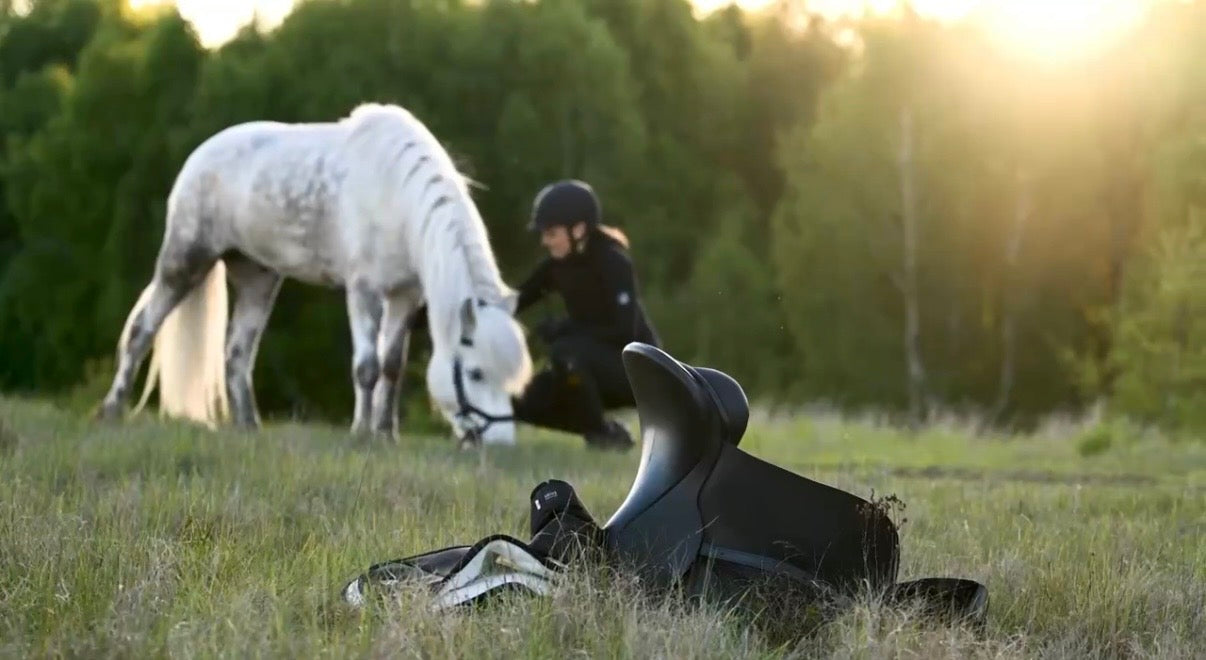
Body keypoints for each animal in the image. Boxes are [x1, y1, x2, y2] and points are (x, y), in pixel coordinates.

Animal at [96, 102, 534, 446]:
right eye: (475, 373)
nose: (499, 442)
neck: (397, 199)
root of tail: (199, 155)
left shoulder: (404, 296)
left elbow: (392, 366)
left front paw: (386, 433)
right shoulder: (364, 290)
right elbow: (367, 366)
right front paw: (361, 434)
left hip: (258, 277)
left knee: (237, 353)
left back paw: (248, 426)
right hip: (185, 260)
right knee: (141, 330)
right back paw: (111, 410)